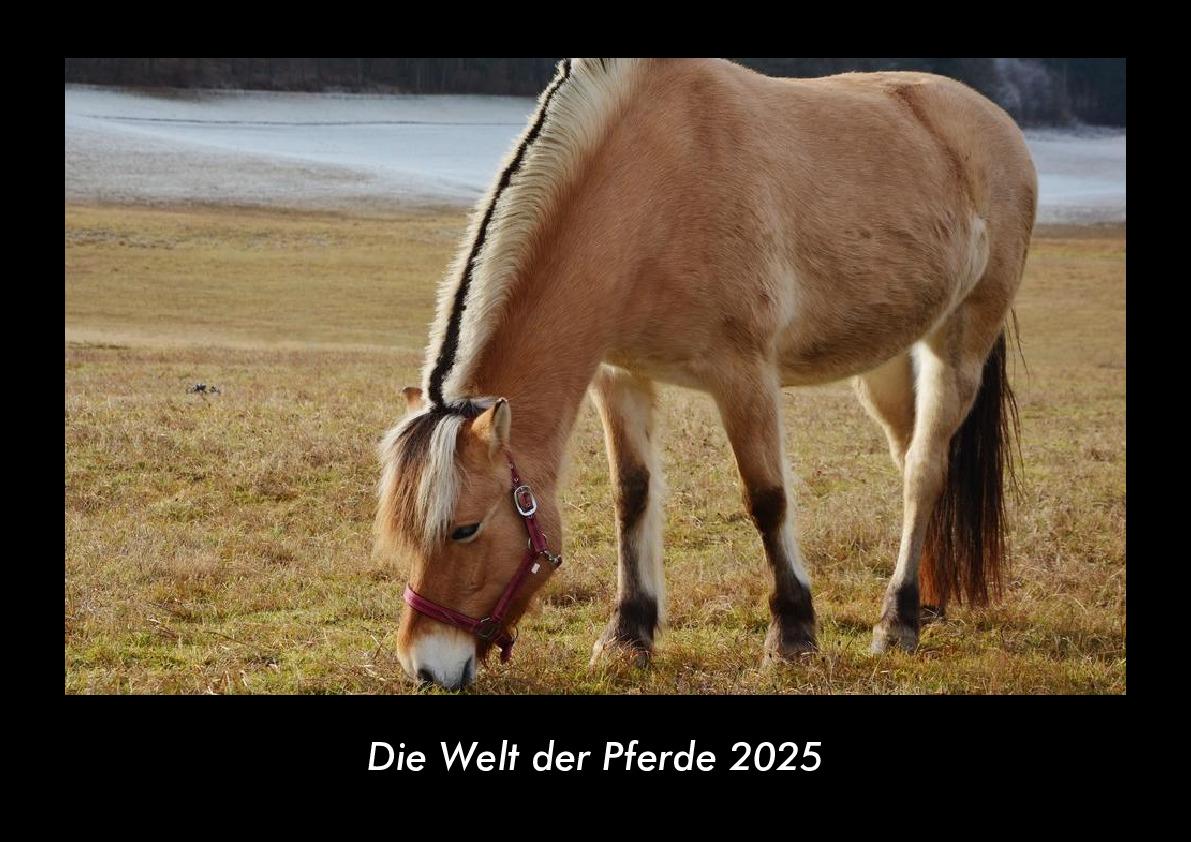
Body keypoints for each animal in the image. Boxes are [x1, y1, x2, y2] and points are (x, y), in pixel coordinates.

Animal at [376, 57, 1036, 690]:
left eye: (465, 529)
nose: (426, 666)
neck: (653, 184)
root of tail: (997, 126)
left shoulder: (743, 375)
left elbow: (767, 498)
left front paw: (792, 639)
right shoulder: (620, 377)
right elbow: (632, 496)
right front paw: (628, 637)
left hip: (957, 345)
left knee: (924, 470)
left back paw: (897, 622)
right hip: (889, 363)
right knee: (912, 461)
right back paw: (928, 602)